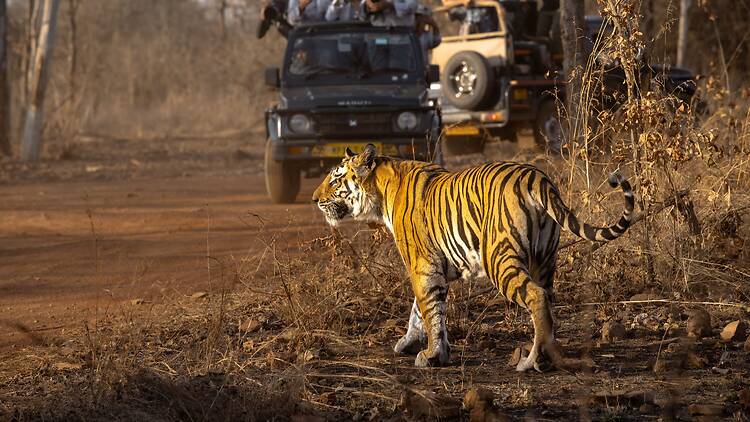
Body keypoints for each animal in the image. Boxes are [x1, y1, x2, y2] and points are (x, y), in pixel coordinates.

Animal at [312, 144, 635, 371]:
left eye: (335, 179)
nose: (315, 199)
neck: (380, 192)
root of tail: (537, 177)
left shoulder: (422, 265)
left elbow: (430, 310)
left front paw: (432, 354)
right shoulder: (436, 266)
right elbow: (420, 309)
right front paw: (409, 343)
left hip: (499, 259)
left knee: (536, 297)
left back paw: (533, 360)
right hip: (545, 259)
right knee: (549, 300)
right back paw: (548, 354)